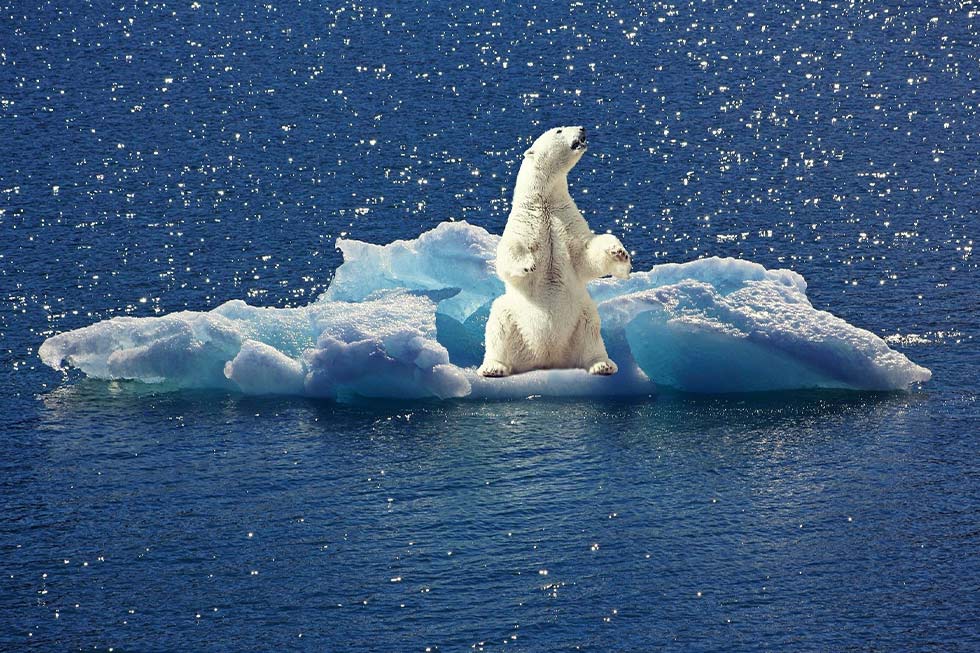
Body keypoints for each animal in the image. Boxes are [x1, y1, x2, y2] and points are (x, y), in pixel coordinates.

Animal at [478, 126, 632, 376]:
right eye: (559, 130)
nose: (582, 128)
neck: (545, 201)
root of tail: (547, 358)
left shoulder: (566, 219)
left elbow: (585, 254)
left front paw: (619, 253)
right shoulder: (525, 221)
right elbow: (509, 251)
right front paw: (527, 264)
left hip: (580, 316)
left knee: (592, 330)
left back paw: (602, 364)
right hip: (513, 316)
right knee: (498, 323)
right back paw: (494, 367)